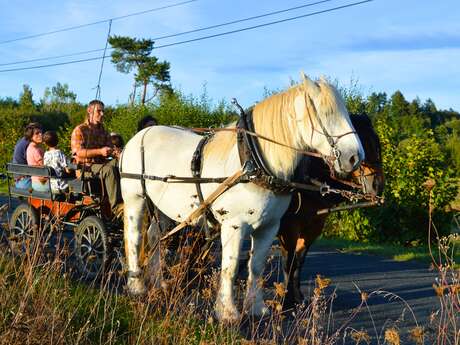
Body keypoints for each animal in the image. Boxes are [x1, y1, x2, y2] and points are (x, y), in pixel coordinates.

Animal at [120, 74, 364, 322]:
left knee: (155, 237)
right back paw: (137, 286)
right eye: (326, 113)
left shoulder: (269, 226)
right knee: (135, 237)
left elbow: (255, 266)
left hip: (162, 208)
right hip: (135, 198)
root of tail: (141, 134)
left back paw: (158, 283)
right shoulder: (234, 225)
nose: (355, 157)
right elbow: (230, 267)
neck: (253, 163)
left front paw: (256, 307)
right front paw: (227, 312)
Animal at [278, 113, 382, 310]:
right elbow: (288, 262)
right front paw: (285, 302)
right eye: (365, 144)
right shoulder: (289, 227)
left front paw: (298, 298)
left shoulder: (313, 227)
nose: (377, 185)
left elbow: (299, 261)